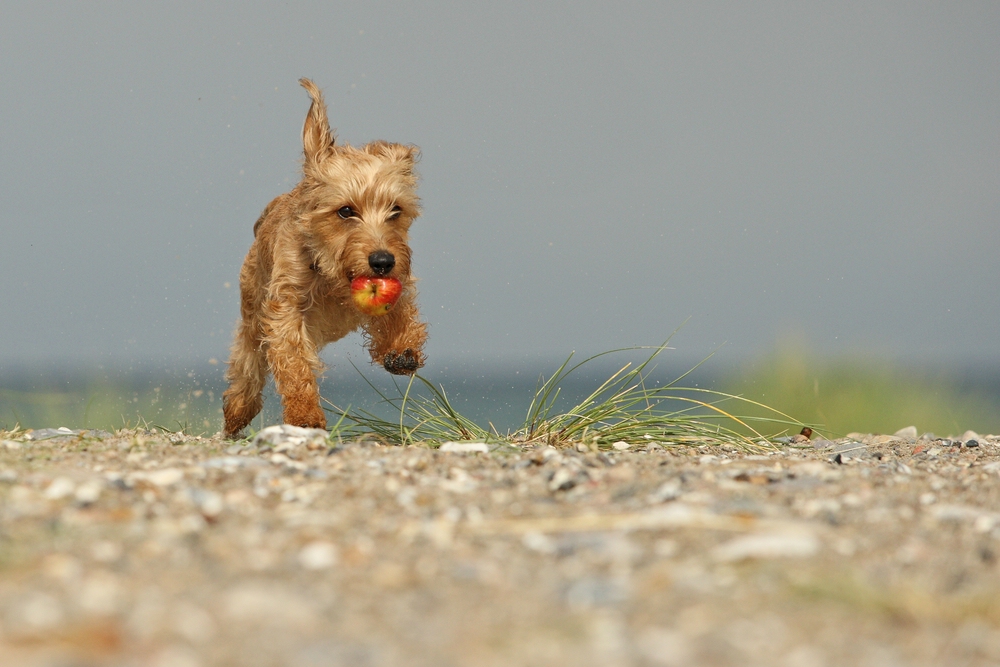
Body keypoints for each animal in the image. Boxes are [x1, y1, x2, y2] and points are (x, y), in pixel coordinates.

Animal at [225, 78, 428, 438]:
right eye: (345, 211)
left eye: (396, 210)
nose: (381, 261)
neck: (331, 274)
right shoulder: (284, 309)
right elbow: (293, 363)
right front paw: (305, 415)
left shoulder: (398, 279)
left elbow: (401, 309)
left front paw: (401, 347)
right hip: (252, 311)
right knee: (247, 362)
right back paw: (238, 408)